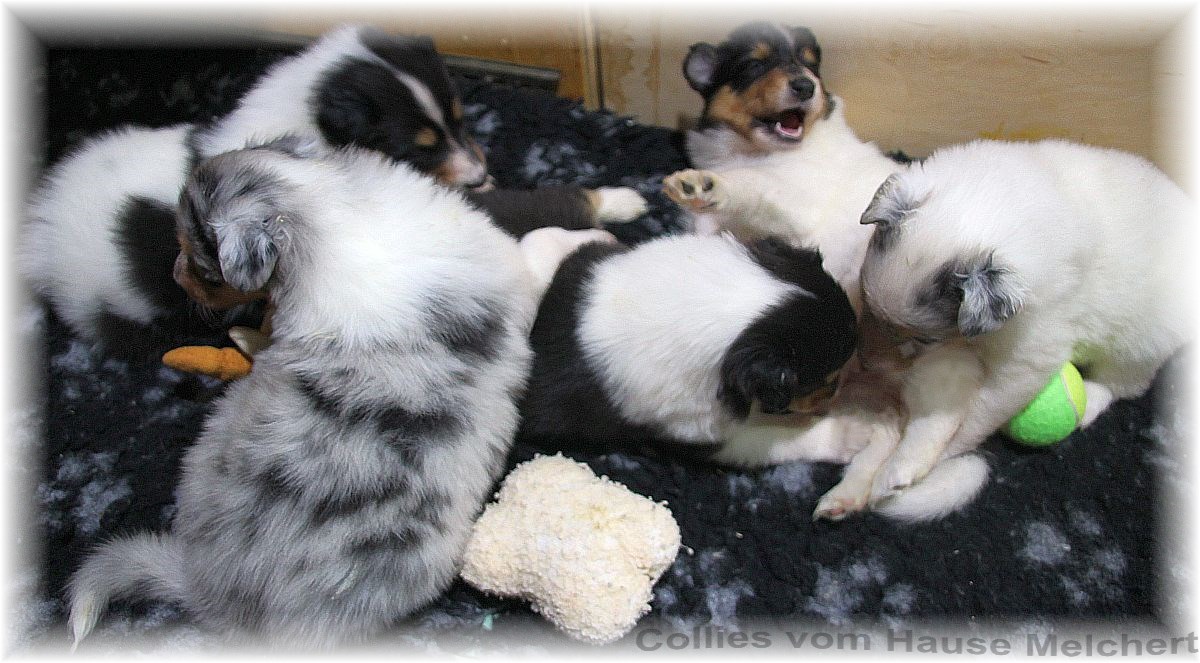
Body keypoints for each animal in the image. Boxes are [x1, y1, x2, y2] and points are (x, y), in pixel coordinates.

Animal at [66, 136, 609, 648]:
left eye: (201, 263)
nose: (176, 275)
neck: (324, 212)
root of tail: (203, 588)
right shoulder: (514, 275)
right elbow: (541, 241)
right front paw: (598, 236)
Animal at [857, 138, 1194, 517]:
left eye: (925, 339)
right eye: (866, 304)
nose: (867, 364)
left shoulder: (1029, 356)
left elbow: (979, 412)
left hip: (1138, 347)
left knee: (1120, 386)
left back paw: (1090, 402)